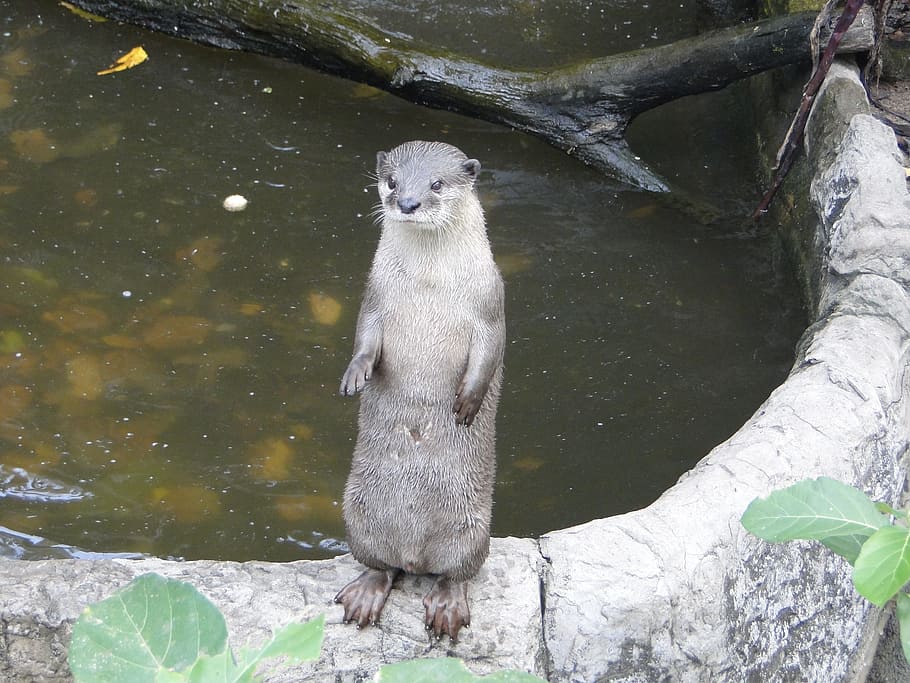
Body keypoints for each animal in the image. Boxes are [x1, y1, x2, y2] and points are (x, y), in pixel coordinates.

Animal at [335, 140, 505, 641]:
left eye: (437, 184)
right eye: (393, 181)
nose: (407, 202)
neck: (430, 285)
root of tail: (414, 554)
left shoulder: (491, 303)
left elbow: (488, 352)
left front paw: (467, 400)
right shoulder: (374, 297)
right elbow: (365, 338)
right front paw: (356, 374)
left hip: (472, 532)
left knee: (456, 573)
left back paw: (447, 603)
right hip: (358, 515)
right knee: (381, 566)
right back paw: (368, 591)